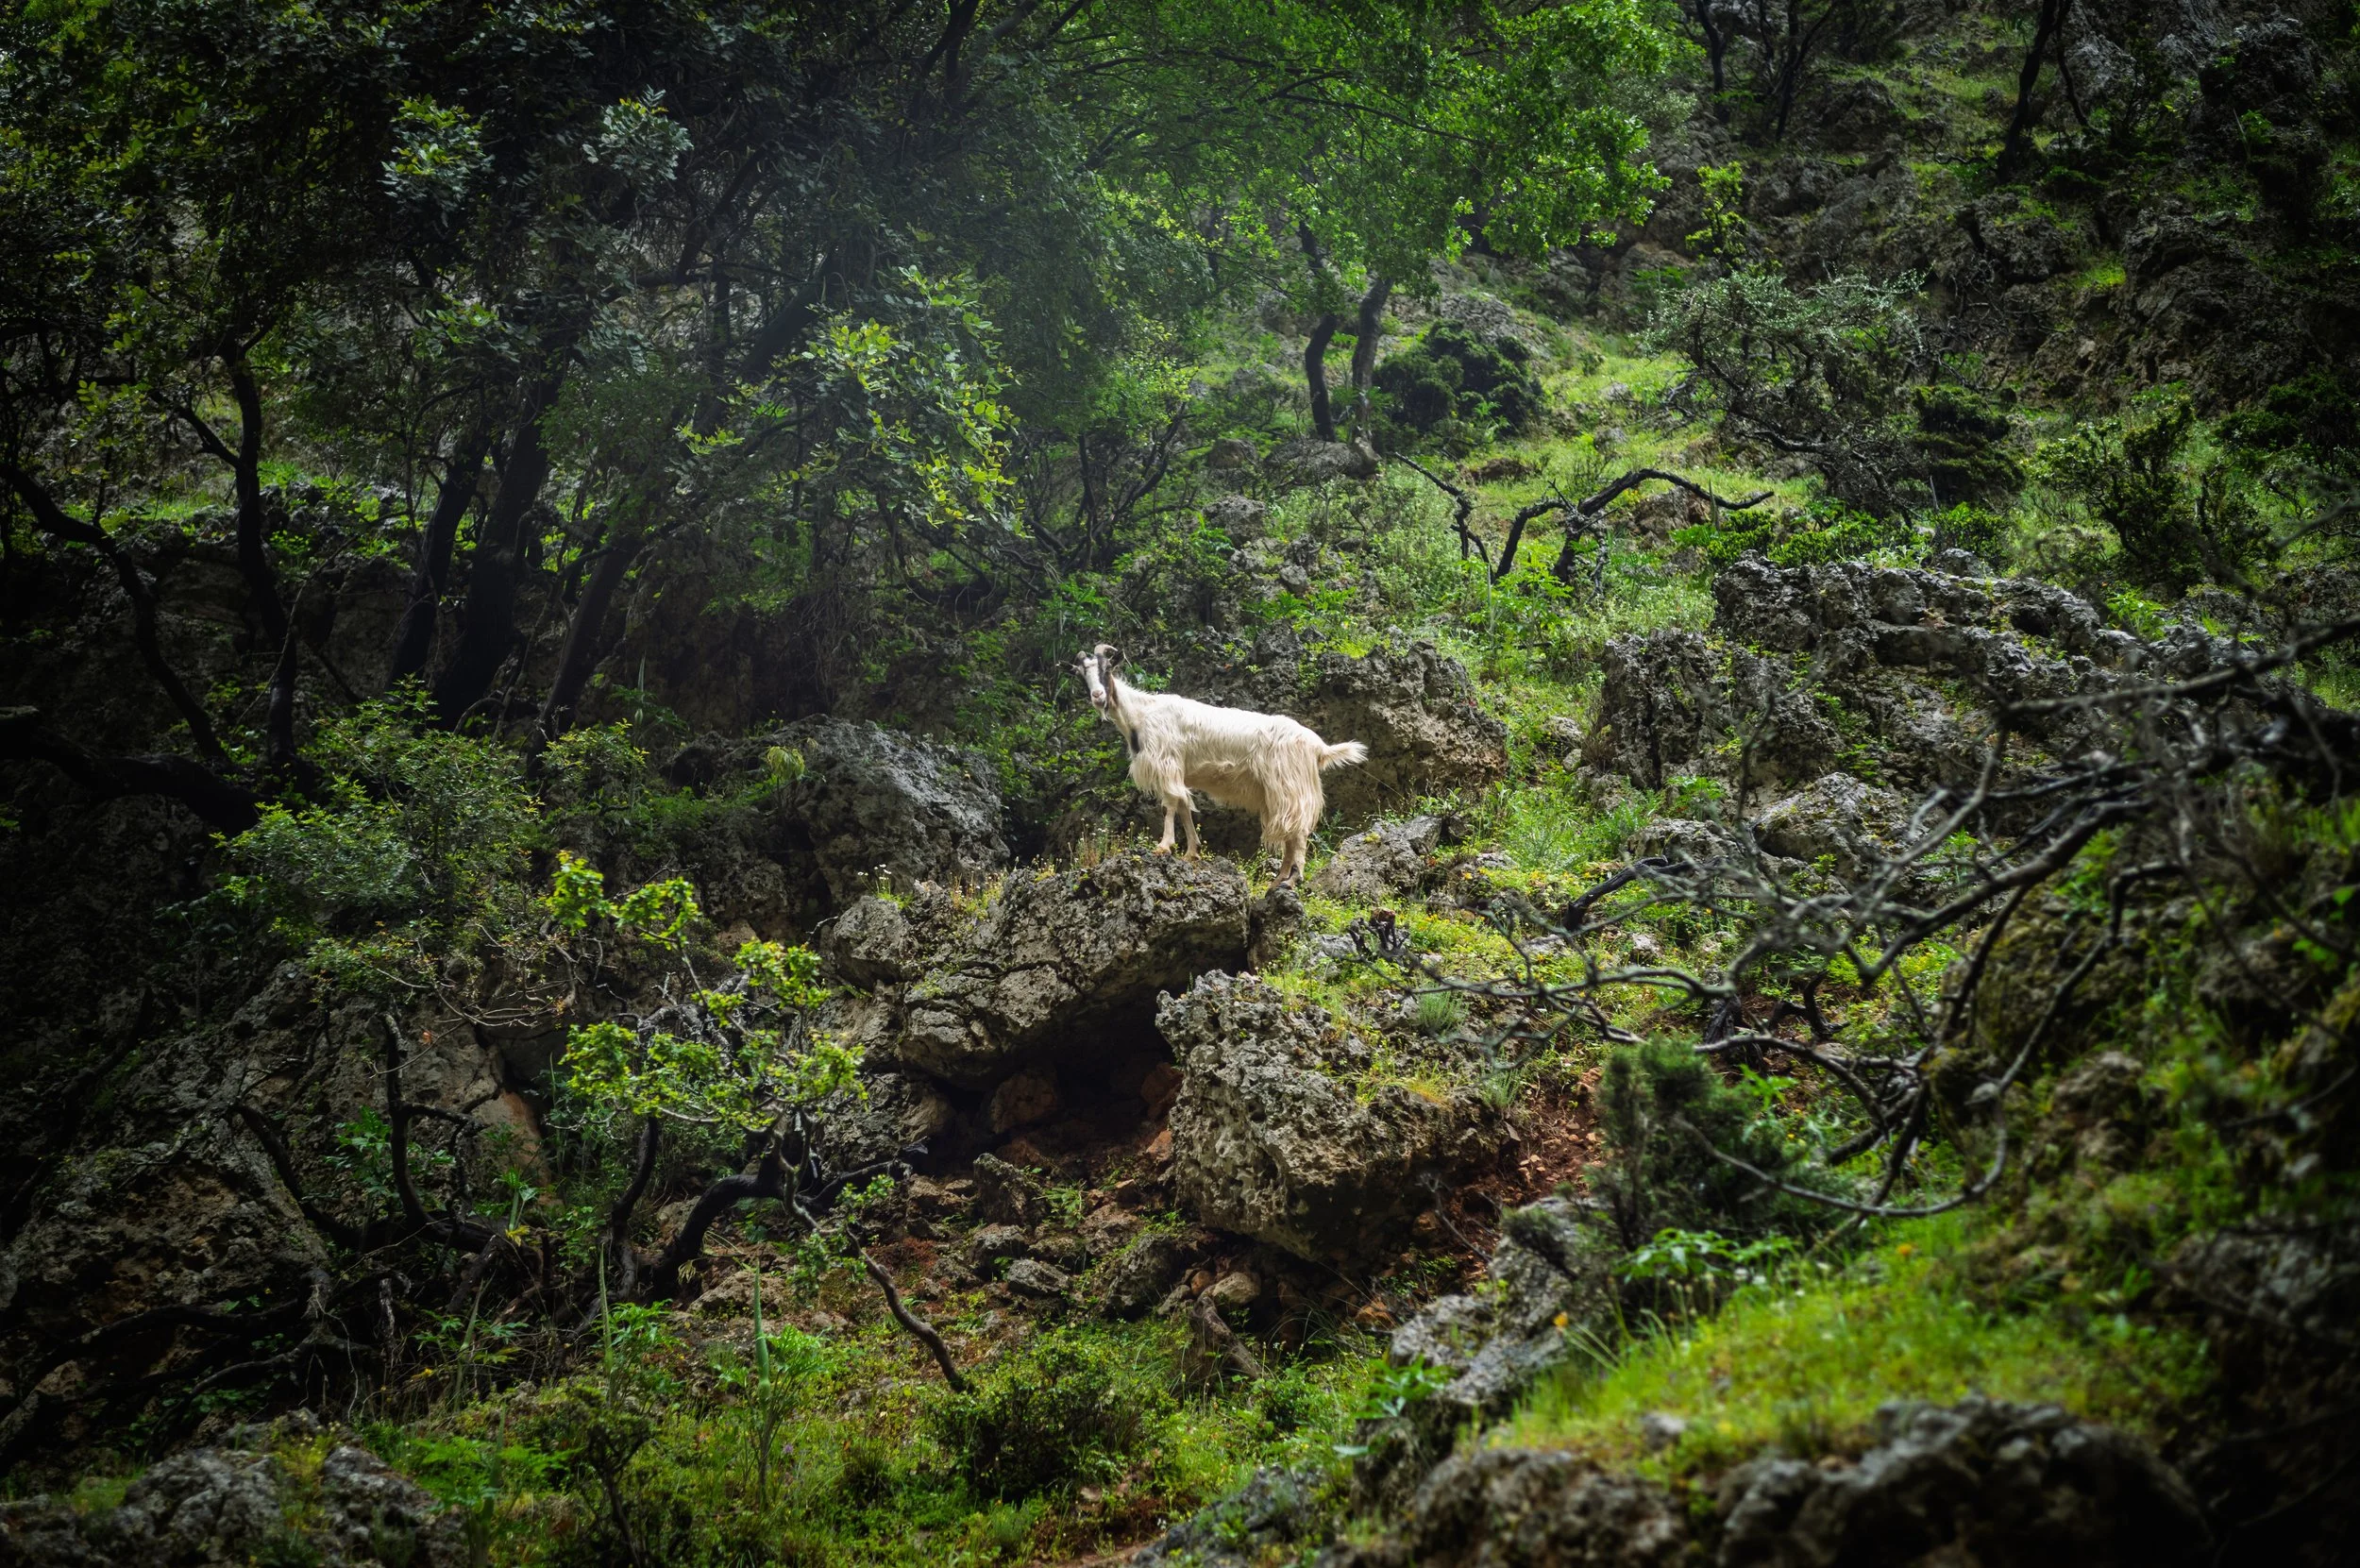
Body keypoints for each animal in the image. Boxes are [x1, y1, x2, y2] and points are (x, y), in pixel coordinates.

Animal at [1075, 643, 1367, 883]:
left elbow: (1169, 806)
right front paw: (1192, 852)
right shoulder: (1180, 772)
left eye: (1107, 668)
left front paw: (1164, 846)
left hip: (1289, 786)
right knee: (1290, 832)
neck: (1141, 714)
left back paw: (1293, 878)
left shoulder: (1167, 762)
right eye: (1083, 675)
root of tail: (1318, 747)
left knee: (1297, 831)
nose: (1098, 696)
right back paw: (1279, 881)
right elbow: (1184, 807)